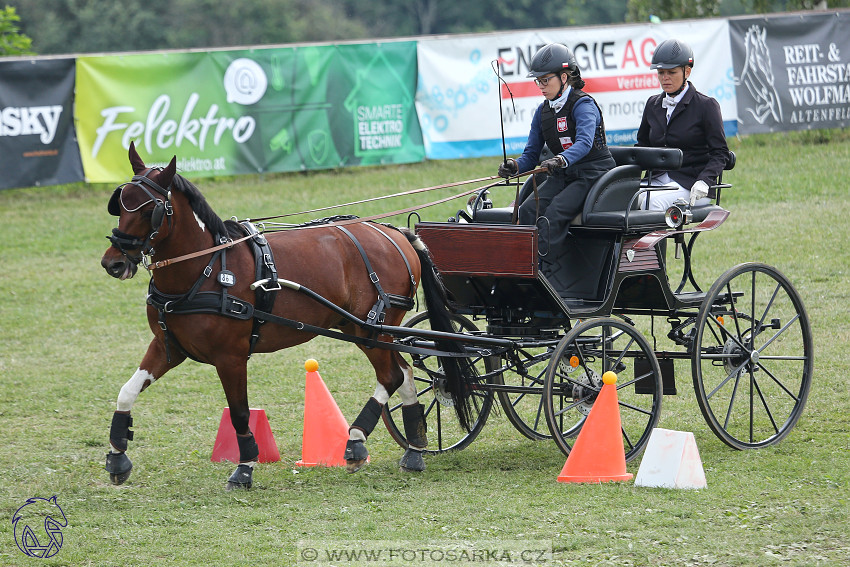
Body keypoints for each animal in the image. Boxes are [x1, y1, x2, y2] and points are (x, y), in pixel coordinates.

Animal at [102, 141, 474, 488]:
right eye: (119, 203)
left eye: (150, 209)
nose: (113, 262)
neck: (207, 269)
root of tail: (396, 233)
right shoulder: (169, 347)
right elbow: (126, 392)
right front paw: (117, 456)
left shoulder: (230, 357)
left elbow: (240, 414)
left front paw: (244, 468)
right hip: (368, 331)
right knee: (405, 373)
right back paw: (413, 449)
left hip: (374, 330)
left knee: (392, 376)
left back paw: (357, 442)